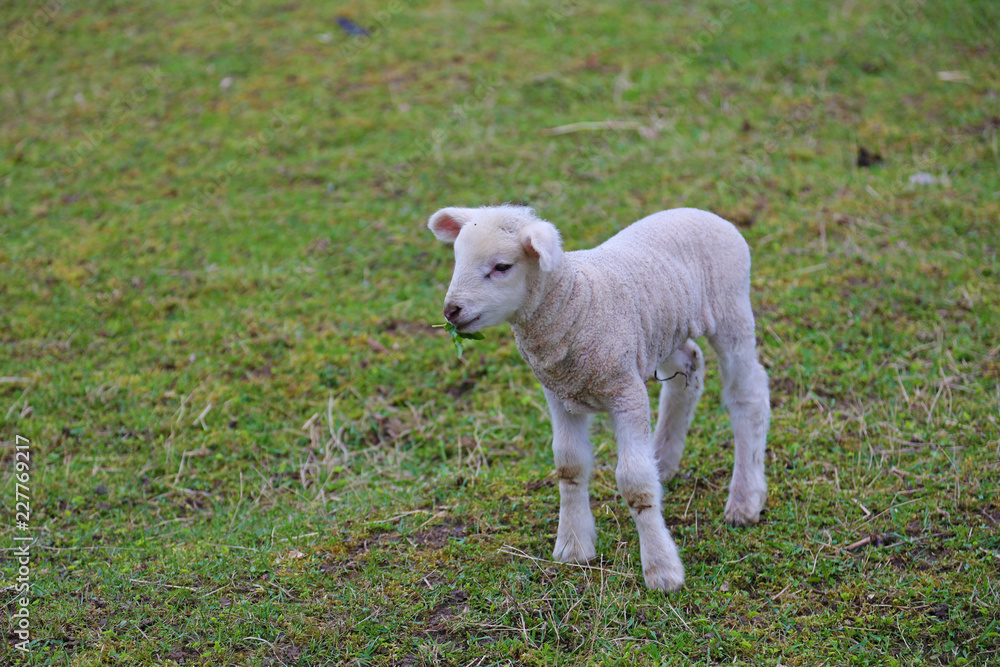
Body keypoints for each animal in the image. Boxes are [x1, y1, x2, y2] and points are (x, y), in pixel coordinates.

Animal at [427, 205, 770, 592]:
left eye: (501, 267)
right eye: (457, 258)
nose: (451, 311)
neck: (573, 300)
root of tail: (704, 212)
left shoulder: (625, 391)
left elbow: (635, 482)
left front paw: (661, 569)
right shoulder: (559, 393)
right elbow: (569, 464)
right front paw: (573, 547)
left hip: (731, 312)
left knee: (748, 393)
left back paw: (745, 500)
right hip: (662, 330)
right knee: (689, 367)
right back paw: (663, 460)